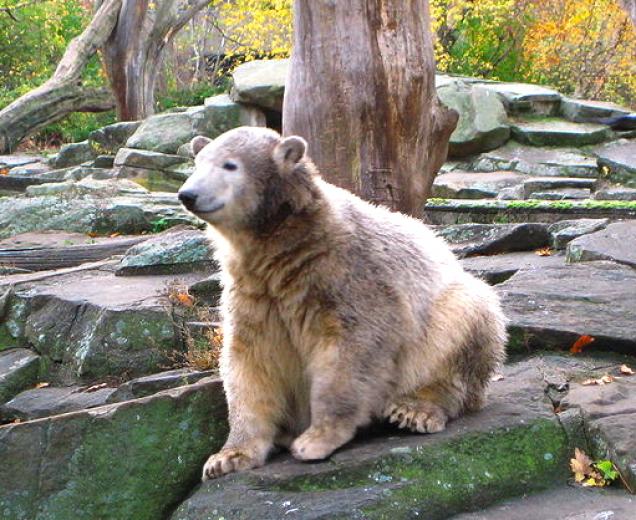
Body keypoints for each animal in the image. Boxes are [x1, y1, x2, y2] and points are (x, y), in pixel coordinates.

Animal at [179, 125, 506, 480]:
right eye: (197, 163)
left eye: (229, 165)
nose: (187, 194)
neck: (289, 243)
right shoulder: (254, 292)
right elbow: (250, 362)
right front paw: (227, 457)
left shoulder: (346, 274)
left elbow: (352, 349)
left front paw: (316, 440)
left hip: (448, 311)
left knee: (464, 322)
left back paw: (415, 409)